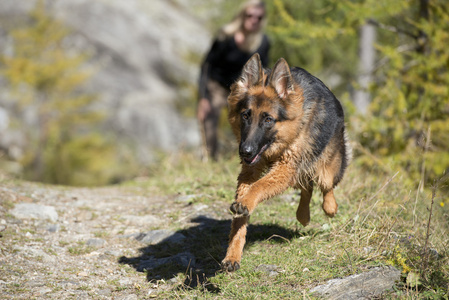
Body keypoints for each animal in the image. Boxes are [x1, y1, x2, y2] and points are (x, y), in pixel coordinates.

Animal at [222, 53, 352, 272]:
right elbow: (240, 215)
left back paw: (330, 207)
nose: (245, 151)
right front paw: (232, 254)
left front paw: (246, 201)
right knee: (307, 186)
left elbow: (259, 186)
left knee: (326, 185)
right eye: (245, 115)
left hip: (326, 166)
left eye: (268, 119)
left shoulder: (286, 167)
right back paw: (303, 215)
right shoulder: (251, 170)